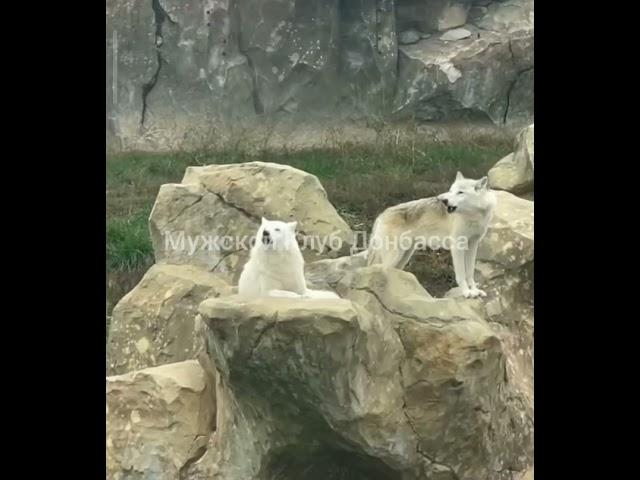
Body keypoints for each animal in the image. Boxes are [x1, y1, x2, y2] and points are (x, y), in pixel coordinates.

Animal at [368, 172, 498, 298]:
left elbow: (470, 273)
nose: (444, 201)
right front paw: (467, 292)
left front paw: (475, 291)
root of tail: (381, 214)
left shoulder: (473, 244)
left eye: (460, 192)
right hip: (394, 256)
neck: (473, 216)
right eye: (451, 191)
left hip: (403, 257)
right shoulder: (457, 246)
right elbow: (461, 274)